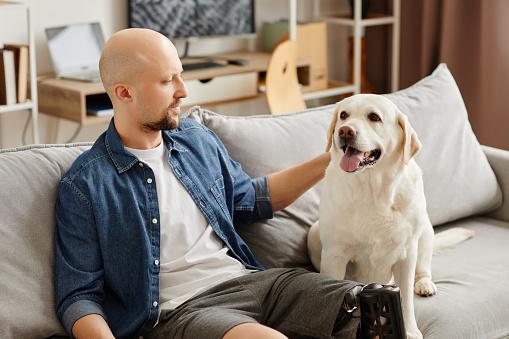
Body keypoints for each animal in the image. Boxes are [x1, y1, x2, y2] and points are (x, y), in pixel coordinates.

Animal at [308, 93, 474, 339]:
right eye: (343, 115)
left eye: (374, 117)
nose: (345, 131)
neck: (372, 190)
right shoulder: (333, 256)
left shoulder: (407, 254)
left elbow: (406, 300)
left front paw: (411, 331)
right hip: (313, 233)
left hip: (425, 231)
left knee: (423, 268)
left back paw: (424, 284)